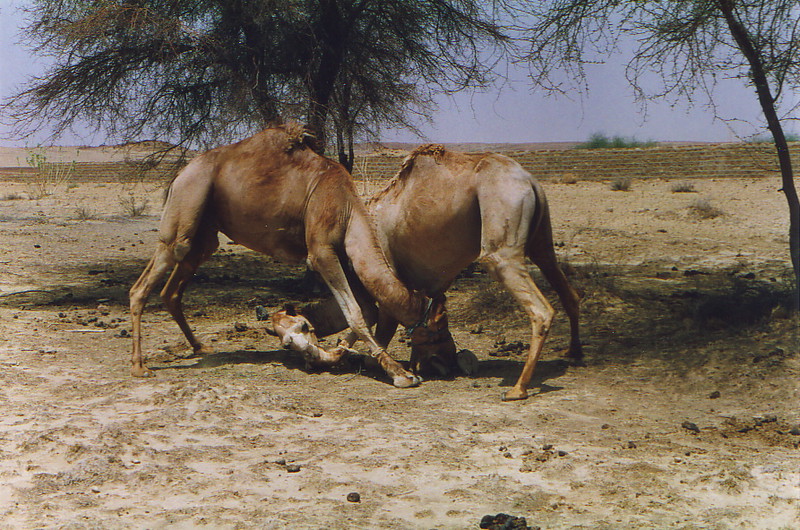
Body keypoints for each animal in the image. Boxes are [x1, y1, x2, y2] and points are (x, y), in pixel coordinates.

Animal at [128, 125, 438, 388]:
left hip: (205, 232)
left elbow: (366, 309)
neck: (348, 209)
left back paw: (199, 346)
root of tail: (180, 174)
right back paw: (140, 367)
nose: (437, 361)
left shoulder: (344, 253)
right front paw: (401, 374)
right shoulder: (321, 249)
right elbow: (357, 314)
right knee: (146, 280)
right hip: (188, 200)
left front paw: (336, 355)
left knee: (173, 288)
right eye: (433, 326)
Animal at [268, 144, 580, 400]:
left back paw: (517, 388)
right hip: (541, 240)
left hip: (501, 243)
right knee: (567, 290)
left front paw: (398, 369)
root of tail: (529, 180)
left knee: (540, 309)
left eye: (301, 330)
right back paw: (573, 354)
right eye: (285, 342)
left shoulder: (386, 277)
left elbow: (376, 322)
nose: (309, 361)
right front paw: (425, 363)